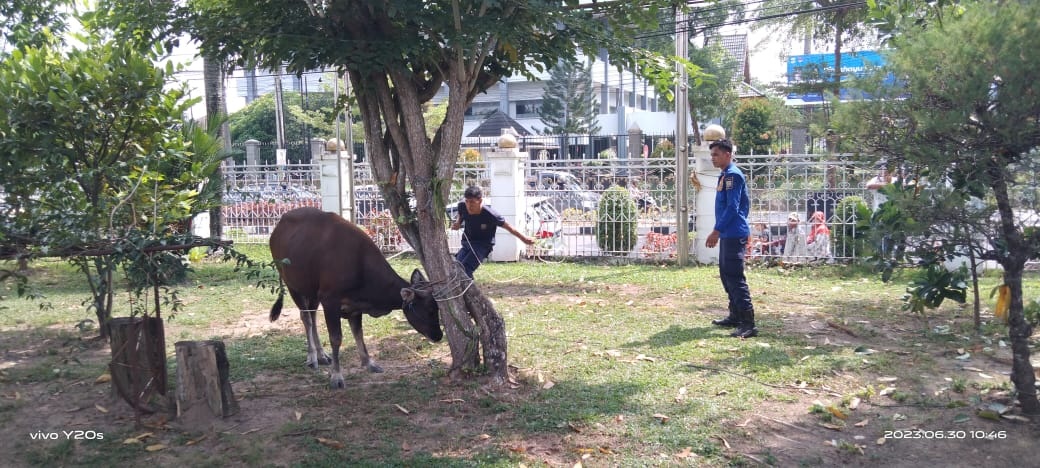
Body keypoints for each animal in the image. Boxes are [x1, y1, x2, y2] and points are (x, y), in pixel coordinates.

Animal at [268, 208, 443, 386]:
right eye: (429, 310)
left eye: (437, 309)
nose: (438, 335)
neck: (360, 266)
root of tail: (279, 226)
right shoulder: (330, 300)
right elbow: (336, 338)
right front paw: (336, 376)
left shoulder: (355, 305)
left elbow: (358, 333)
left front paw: (369, 363)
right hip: (293, 285)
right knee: (306, 318)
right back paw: (312, 357)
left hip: (312, 291)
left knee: (313, 316)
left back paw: (322, 355)